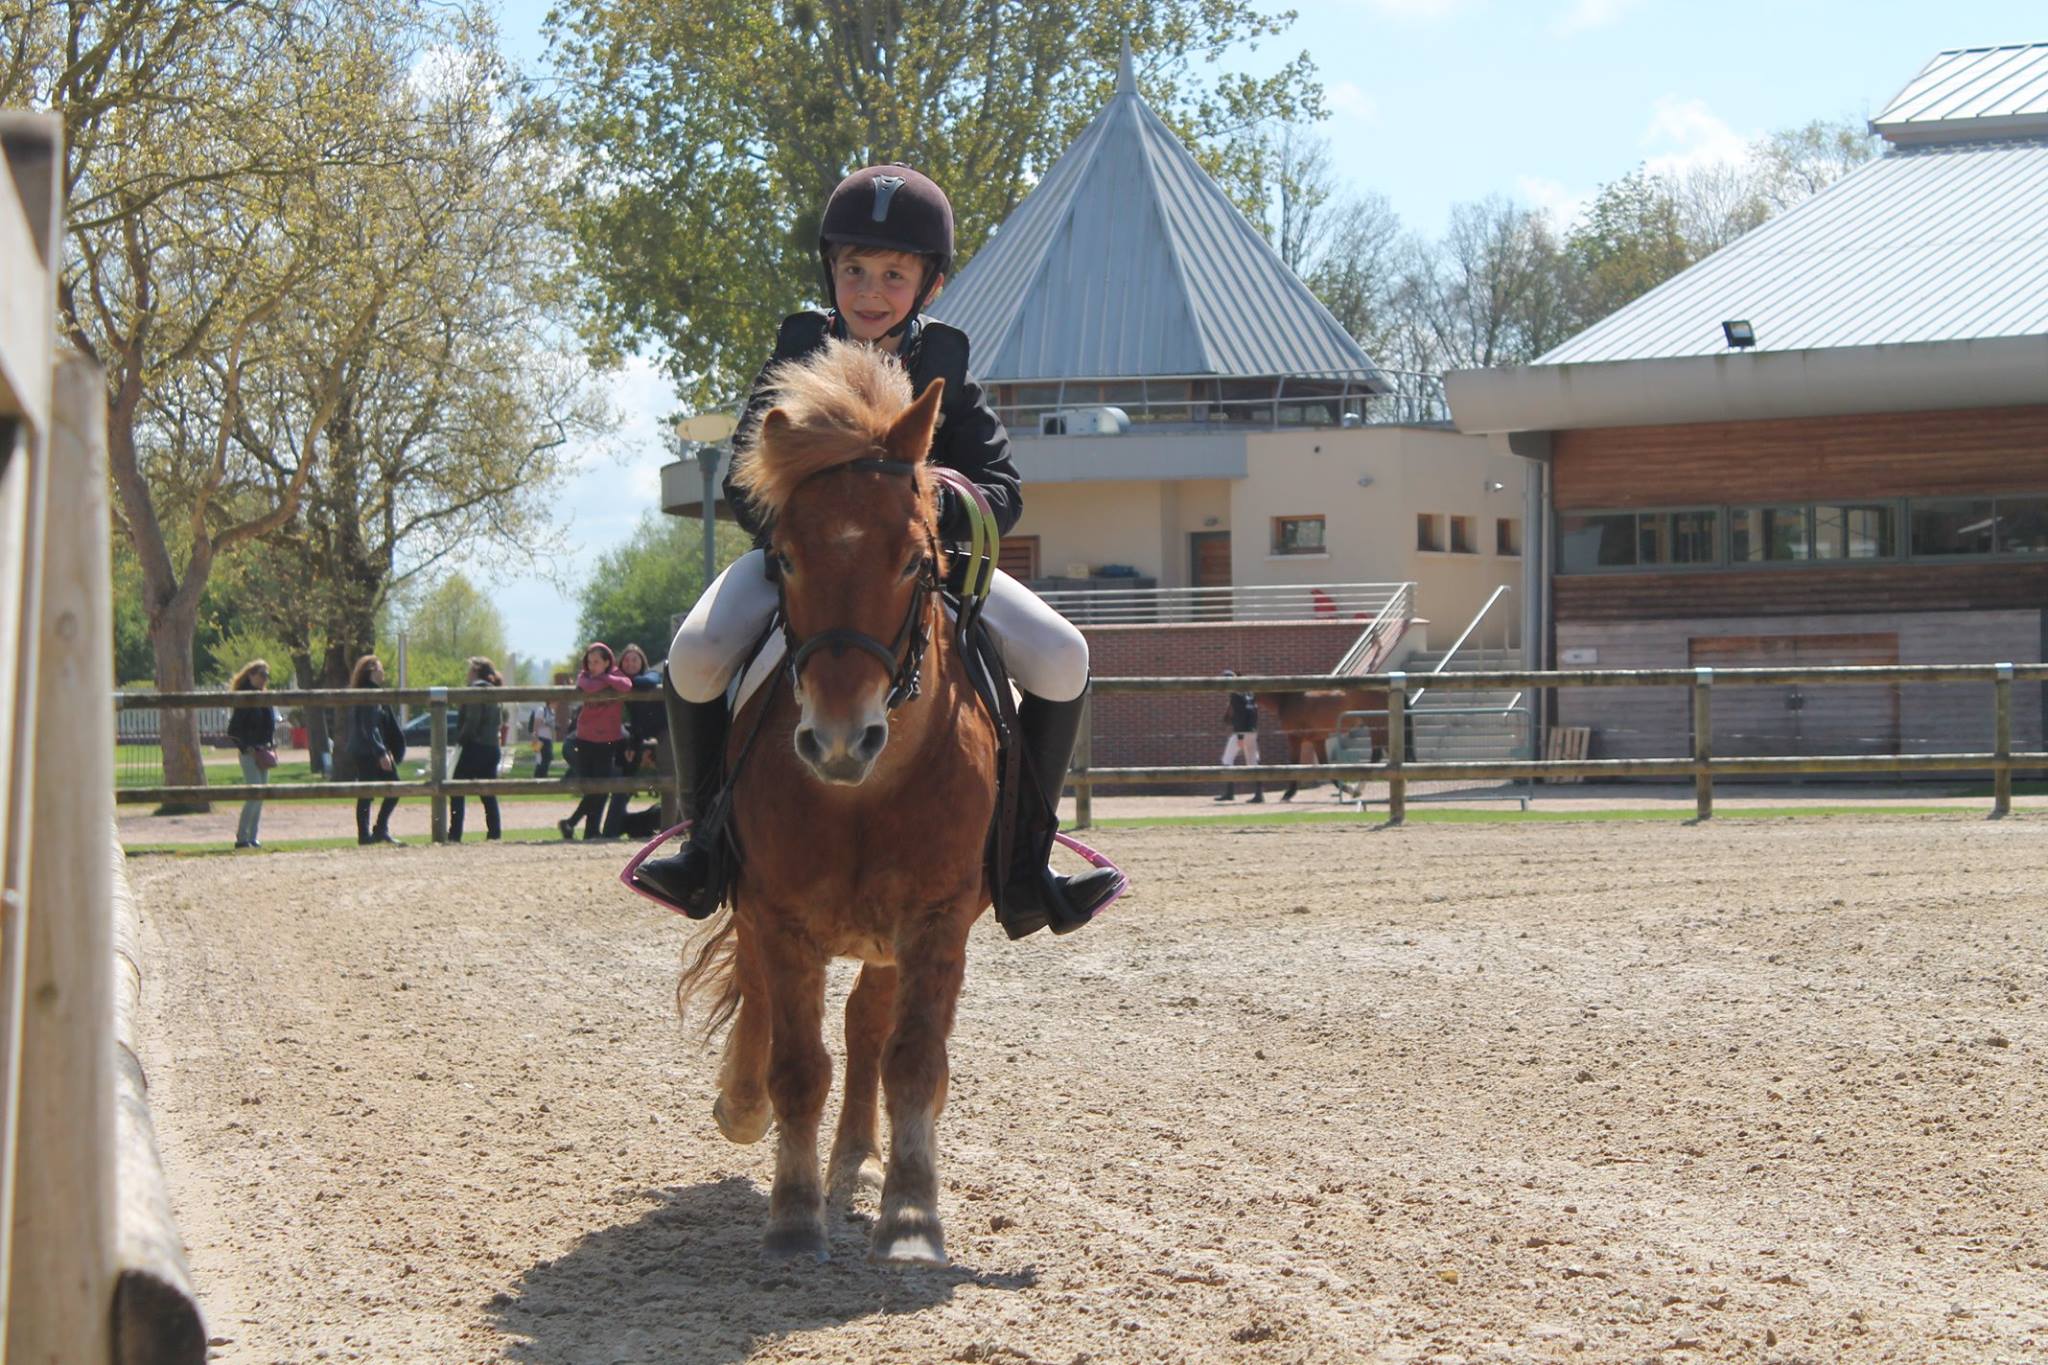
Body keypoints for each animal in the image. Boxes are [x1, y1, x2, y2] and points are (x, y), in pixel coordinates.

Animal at [679, 343, 999, 1268]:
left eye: (917, 559)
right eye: (784, 557)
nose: (836, 740)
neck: (869, 790)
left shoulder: (937, 919)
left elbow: (914, 1060)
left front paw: (913, 1216)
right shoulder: (779, 913)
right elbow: (796, 1064)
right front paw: (792, 1215)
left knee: (867, 1026)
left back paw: (856, 1159)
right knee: (766, 1000)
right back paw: (744, 1104)